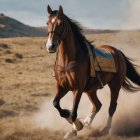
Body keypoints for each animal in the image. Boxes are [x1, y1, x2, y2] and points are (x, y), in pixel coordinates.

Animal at [45, 4, 140, 138]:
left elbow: (74, 112)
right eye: (47, 23)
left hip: (115, 85)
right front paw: (74, 127)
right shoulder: (61, 86)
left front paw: (77, 126)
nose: (50, 46)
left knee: (112, 107)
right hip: (90, 89)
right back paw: (87, 122)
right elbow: (56, 105)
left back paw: (105, 128)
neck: (69, 61)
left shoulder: (77, 88)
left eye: (61, 23)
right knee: (97, 105)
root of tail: (117, 52)